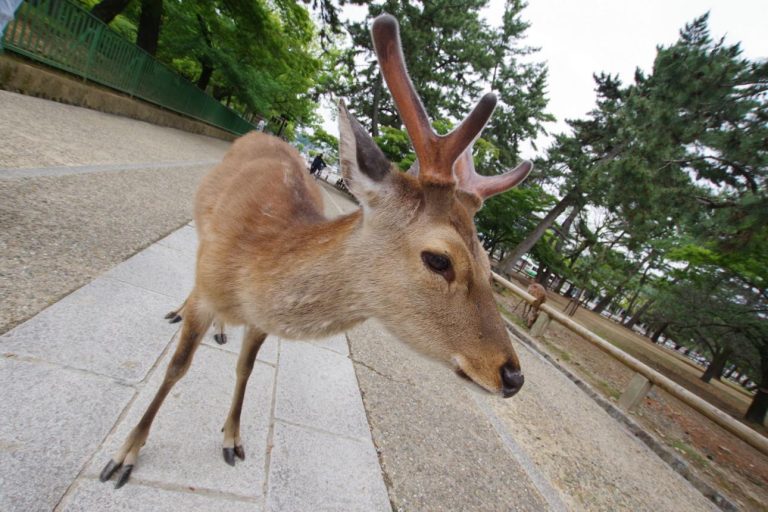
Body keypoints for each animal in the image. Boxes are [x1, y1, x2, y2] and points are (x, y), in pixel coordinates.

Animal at [98, 14, 533, 489]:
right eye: (439, 259)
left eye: (488, 262)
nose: (512, 375)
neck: (249, 267)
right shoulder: (210, 287)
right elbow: (177, 367)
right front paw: (124, 455)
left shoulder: (260, 321)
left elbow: (246, 368)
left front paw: (232, 439)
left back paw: (221, 331)